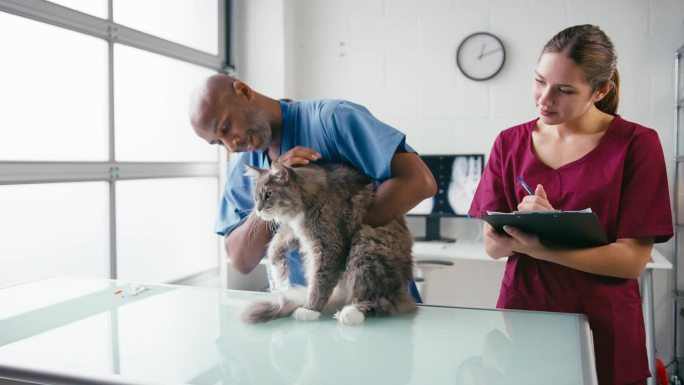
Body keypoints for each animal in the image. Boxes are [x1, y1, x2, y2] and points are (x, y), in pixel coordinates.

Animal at [239, 160, 416, 326]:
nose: (258, 209)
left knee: (381, 299)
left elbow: (320, 281)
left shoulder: (329, 246)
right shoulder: (297, 229)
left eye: (268, 194)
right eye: (256, 197)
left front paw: (310, 309)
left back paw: (351, 313)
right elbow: (276, 242)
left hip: (366, 243)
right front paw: (279, 272)